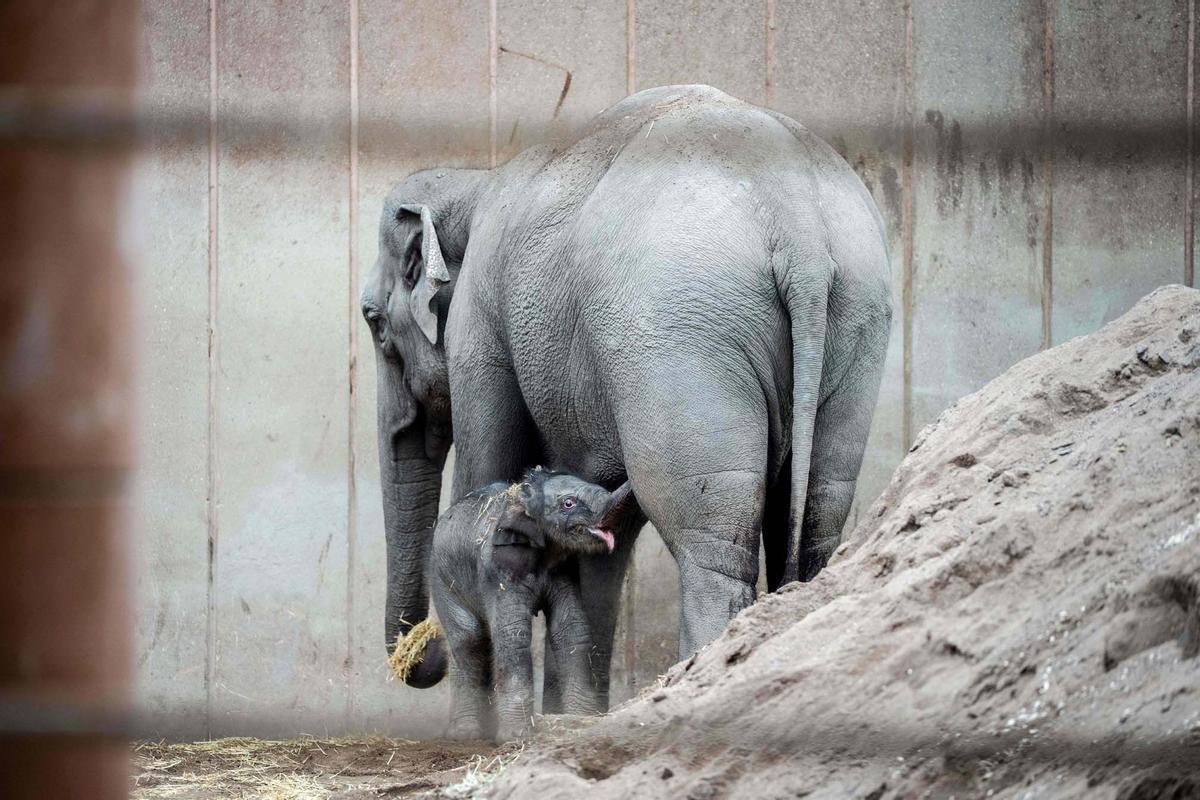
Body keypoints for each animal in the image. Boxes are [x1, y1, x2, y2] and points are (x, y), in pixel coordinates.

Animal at [362, 84, 892, 705]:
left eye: (373, 321)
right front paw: (574, 714)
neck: (477, 184)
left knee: (711, 542)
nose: (418, 652)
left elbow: (488, 466)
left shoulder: (480, 328)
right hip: (857, 322)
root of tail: (799, 228)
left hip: (681, 338)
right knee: (818, 516)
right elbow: (599, 527)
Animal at [434, 470, 638, 738]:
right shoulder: (501, 567)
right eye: (568, 503)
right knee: (468, 638)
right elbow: (513, 634)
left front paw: (581, 719)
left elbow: (570, 628)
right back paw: (465, 734)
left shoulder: (565, 568)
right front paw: (515, 736)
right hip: (441, 581)